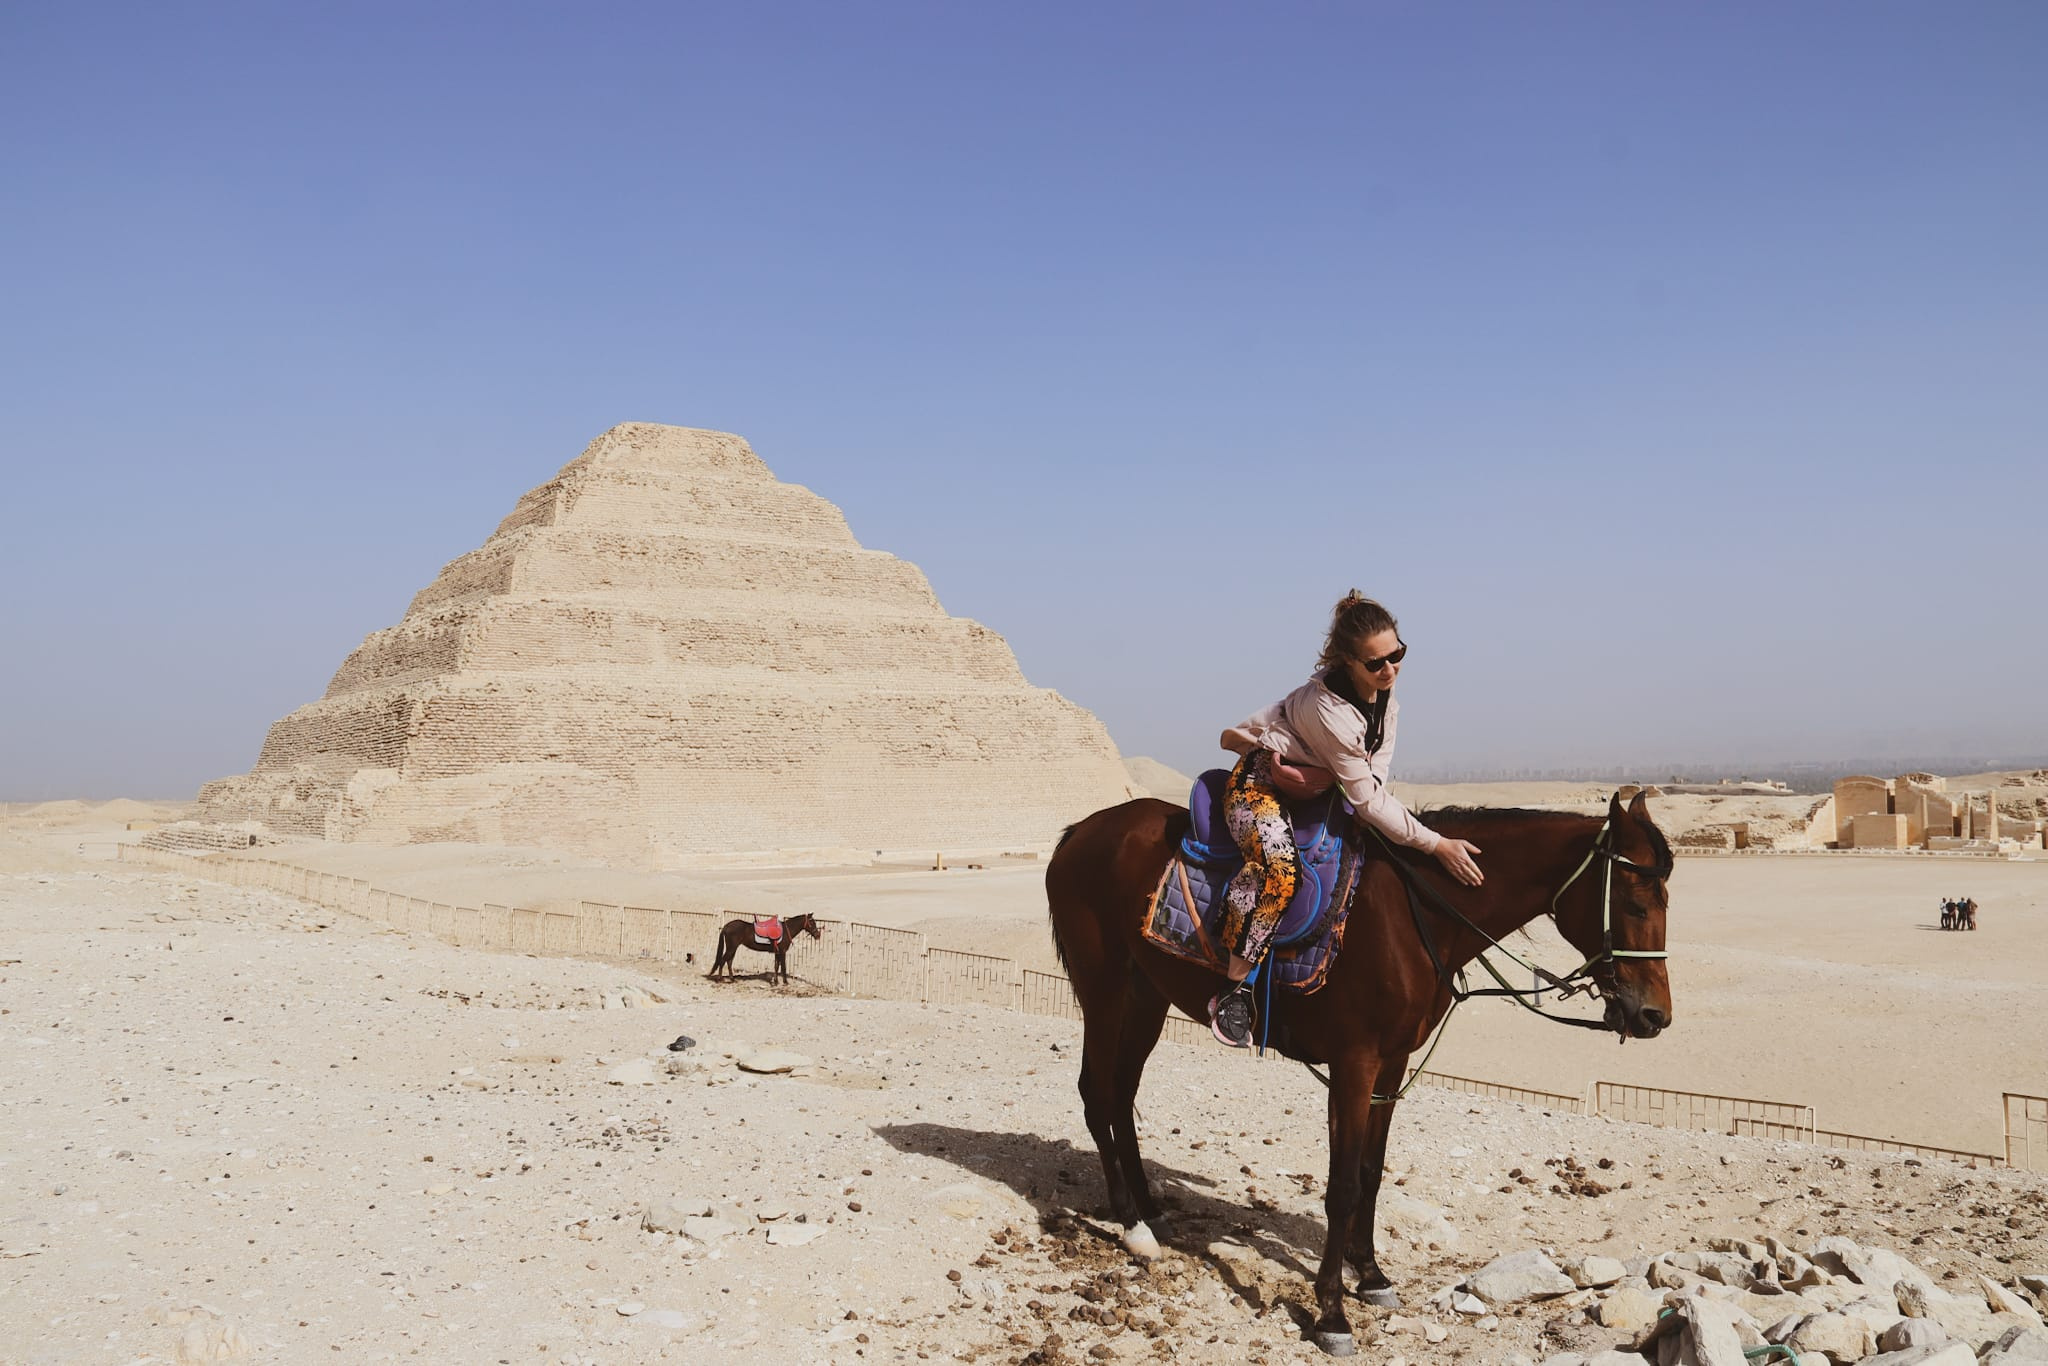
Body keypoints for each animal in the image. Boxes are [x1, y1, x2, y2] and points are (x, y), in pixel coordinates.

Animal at [1048, 790, 1671, 1359]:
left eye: (1666, 901)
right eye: (1635, 904)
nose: (1654, 1016)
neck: (1417, 917)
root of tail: (1080, 832)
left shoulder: (1391, 1064)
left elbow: (1371, 1173)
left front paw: (1370, 1275)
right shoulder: (1354, 1063)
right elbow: (1343, 1186)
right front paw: (1331, 1312)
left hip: (1147, 994)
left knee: (1122, 1094)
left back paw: (1151, 1211)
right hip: (1104, 989)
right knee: (1097, 1093)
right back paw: (1132, 1224)